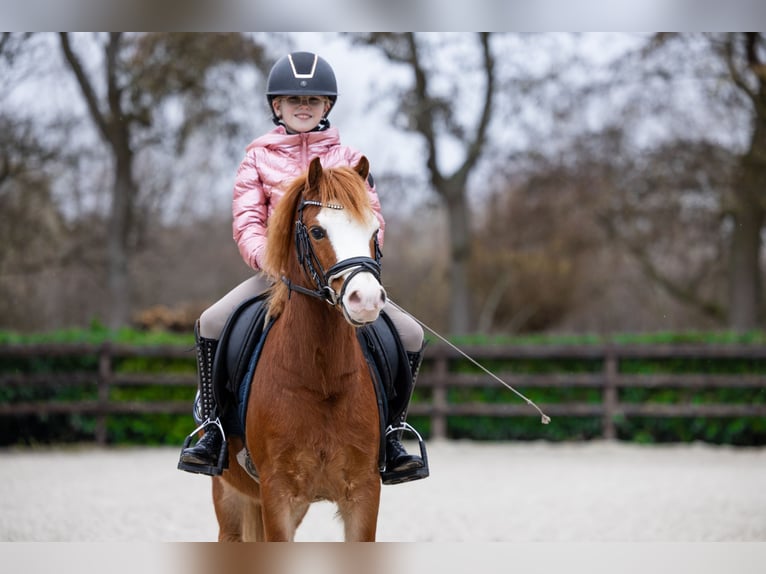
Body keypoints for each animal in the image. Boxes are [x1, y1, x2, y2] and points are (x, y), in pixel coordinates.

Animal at [212, 156, 387, 542]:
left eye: (373, 232)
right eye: (318, 232)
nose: (366, 300)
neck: (321, 377)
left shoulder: (364, 492)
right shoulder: (277, 494)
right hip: (230, 497)